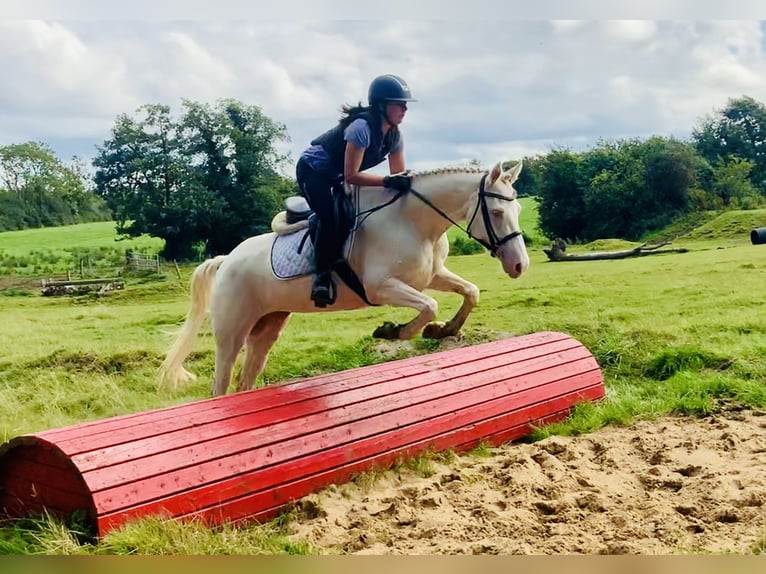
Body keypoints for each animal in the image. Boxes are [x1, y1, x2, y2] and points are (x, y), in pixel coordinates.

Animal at [159, 160, 532, 398]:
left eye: (518, 211)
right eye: (497, 212)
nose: (519, 265)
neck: (414, 221)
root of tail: (225, 260)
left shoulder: (431, 275)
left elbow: (470, 292)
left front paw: (444, 330)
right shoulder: (381, 287)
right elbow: (429, 305)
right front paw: (393, 330)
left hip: (267, 327)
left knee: (245, 379)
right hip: (232, 332)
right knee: (221, 383)